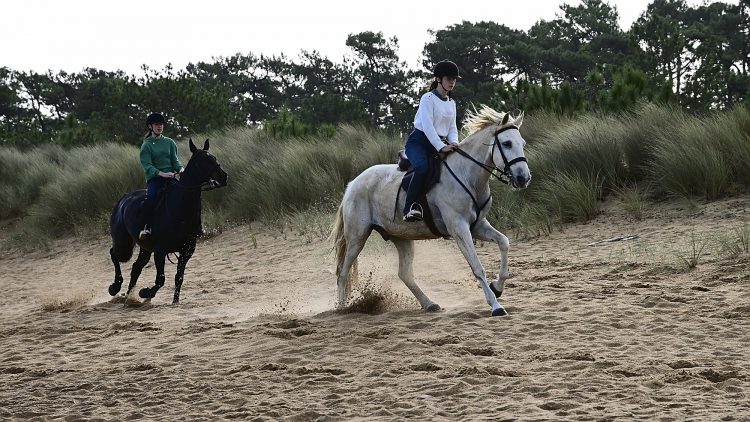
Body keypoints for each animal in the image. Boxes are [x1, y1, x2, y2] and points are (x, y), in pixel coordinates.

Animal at [107, 139, 228, 304]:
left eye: (214, 158)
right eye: (201, 161)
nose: (223, 177)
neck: (180, 209)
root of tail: (123, 199)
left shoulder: (187, 250)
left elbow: (179, 277)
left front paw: (175, 301)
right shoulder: (160, 250)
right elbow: (160, 279)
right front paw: (145, 292)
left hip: (145, 248)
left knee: (136, 267)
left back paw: (129, 298)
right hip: (123, 242)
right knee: (114, 254)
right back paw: (115, 288)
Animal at [330, 106, 531, 317]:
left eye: (522, 143)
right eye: (507, 143)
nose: (523, 178)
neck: (467, 175)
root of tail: (352, 185)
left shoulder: (478, 226)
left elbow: (504, 242)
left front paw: (497, 287)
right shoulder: (459, 228)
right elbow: (477, 267)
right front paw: (496, 305)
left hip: (401, 237)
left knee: (404, 274)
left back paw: (429, 303)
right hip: (357, 237)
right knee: (342, 272)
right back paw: (342, 308)